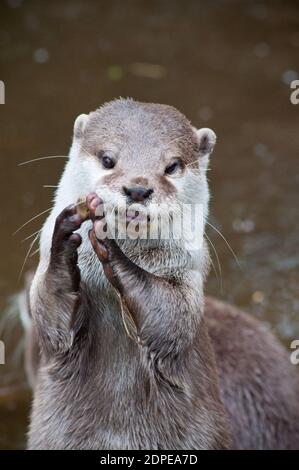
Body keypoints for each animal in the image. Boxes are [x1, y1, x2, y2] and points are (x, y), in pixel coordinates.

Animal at [25, 98, 299, 448]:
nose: (137, 189)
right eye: (108, 159)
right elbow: (49, 313)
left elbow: (171, 321)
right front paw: (66, 233)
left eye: (172, 166)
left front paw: (113, 251)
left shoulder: (189, 280)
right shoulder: (49, 315)